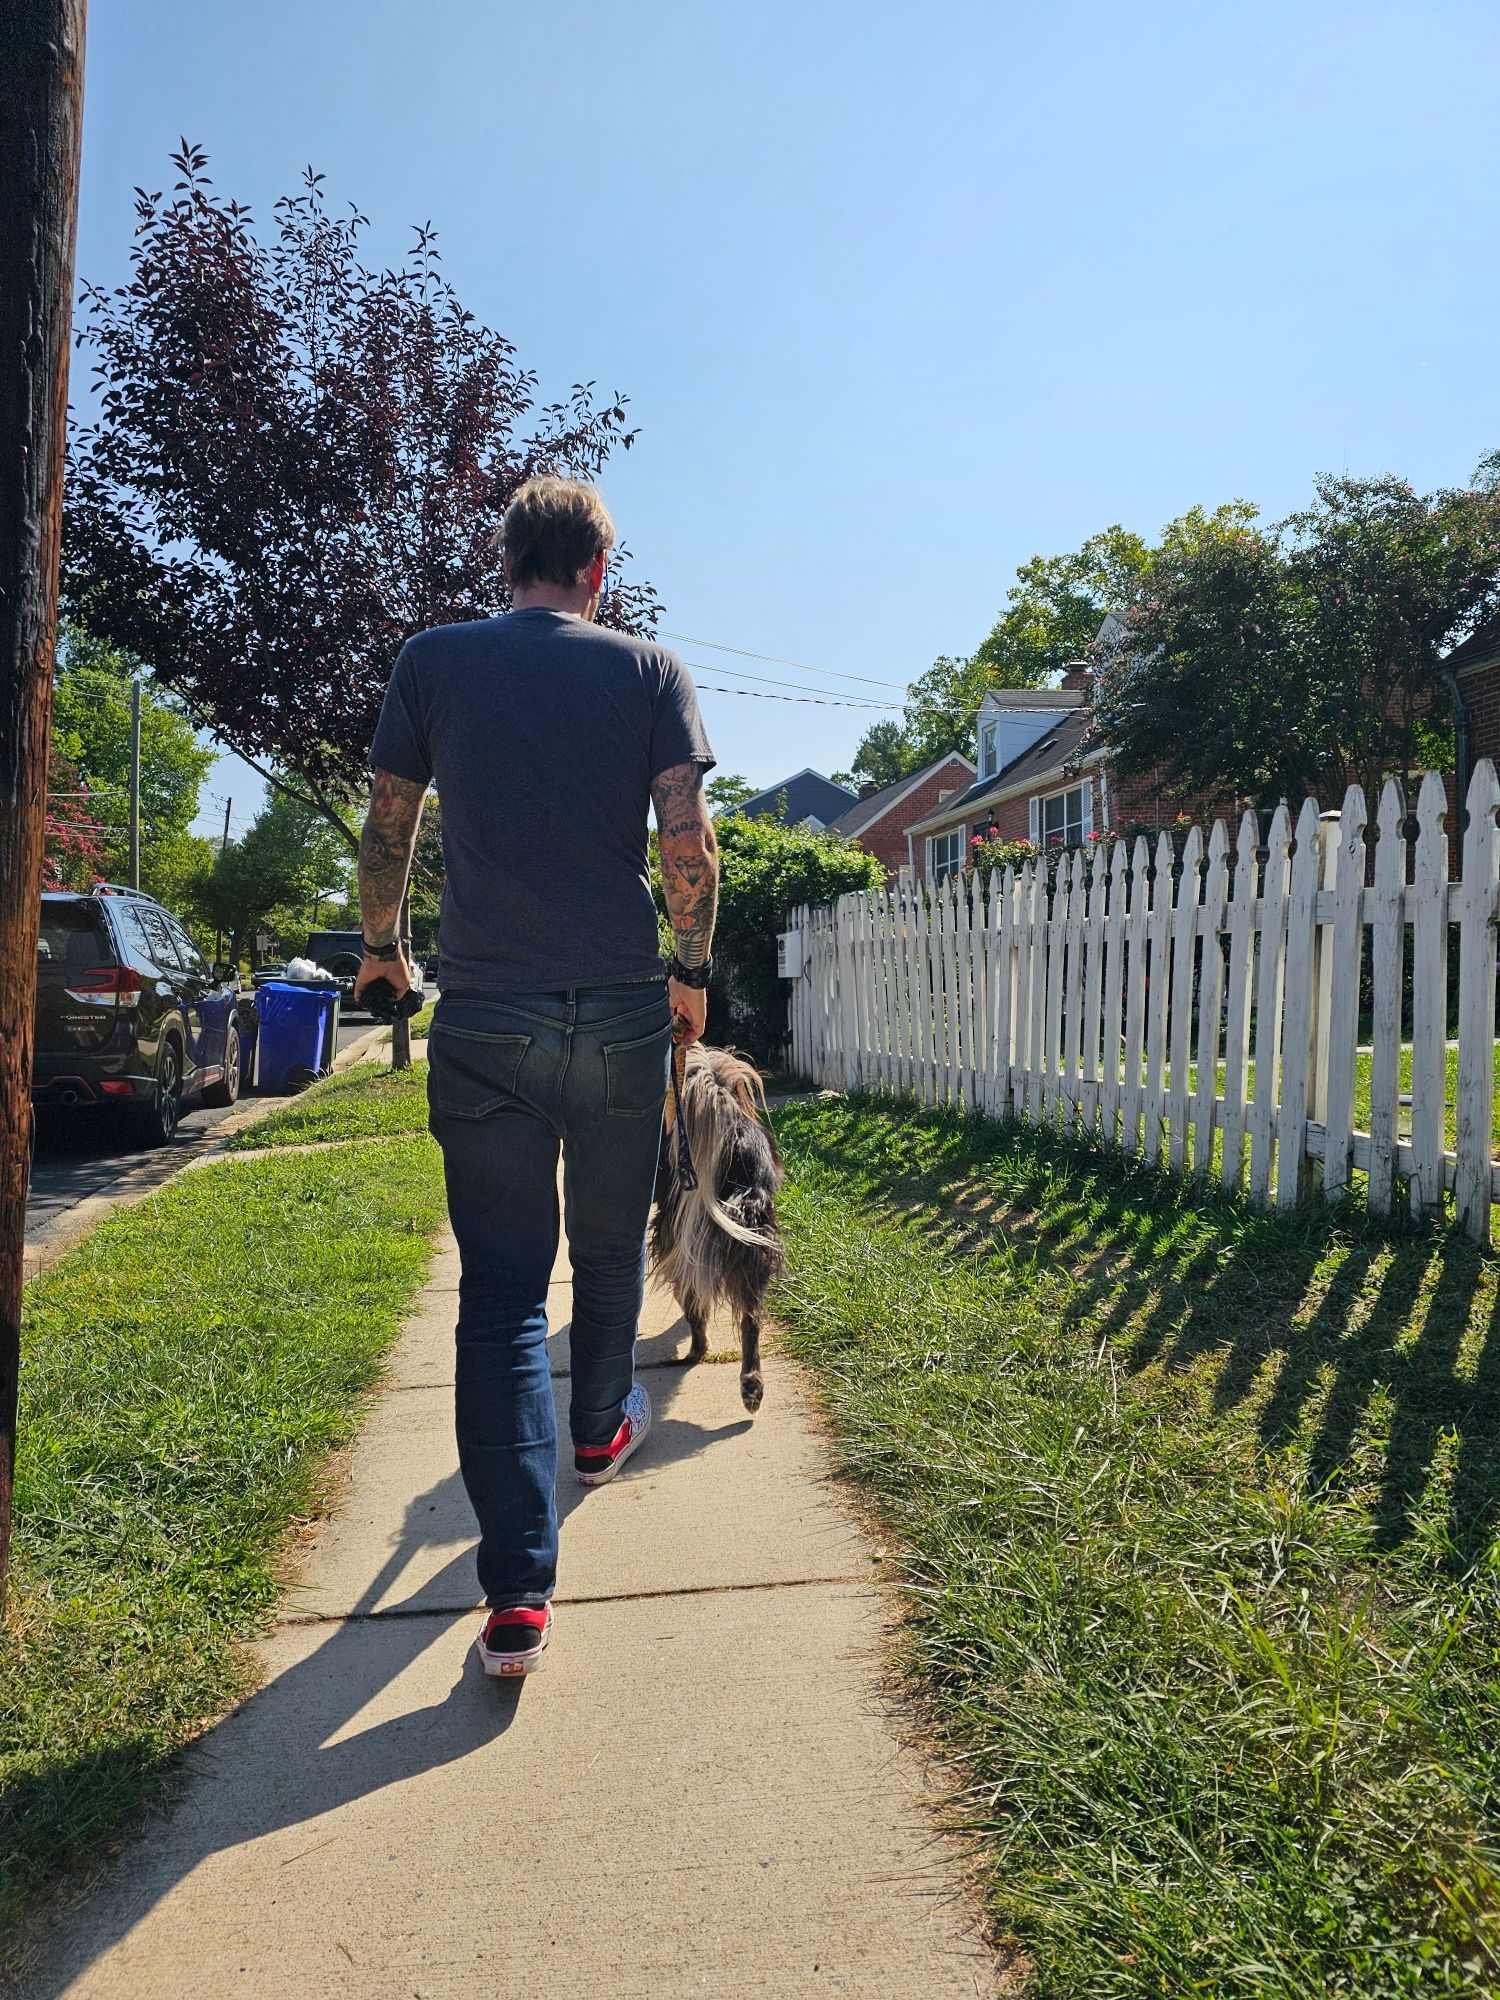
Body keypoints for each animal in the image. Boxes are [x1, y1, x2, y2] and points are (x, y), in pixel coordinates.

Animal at [648, 1040, 788, 1416]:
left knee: (693, 1303)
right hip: (754, 1241)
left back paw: (696, 1351)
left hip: (677, 1241)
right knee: (751, 1318)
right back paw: (751, 1387)